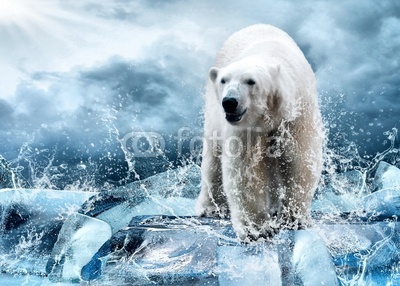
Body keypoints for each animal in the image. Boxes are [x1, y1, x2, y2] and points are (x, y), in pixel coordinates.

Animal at [195, 24, 324, 241]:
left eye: (250, 81)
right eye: (223, 80)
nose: (229, 102)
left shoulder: (297, 114)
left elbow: (300, 160)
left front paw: (294, 218)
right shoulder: (246, 128)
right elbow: (245, 169)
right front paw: (256, 228)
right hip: (213, 113)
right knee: (213, 158)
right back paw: (210, 207)